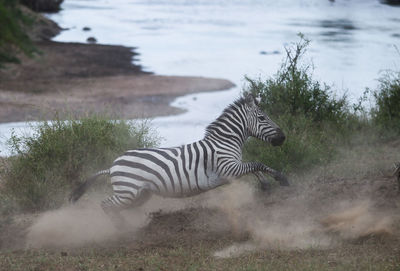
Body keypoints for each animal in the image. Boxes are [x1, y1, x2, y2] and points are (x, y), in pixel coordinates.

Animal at [69, 94, 288, 224]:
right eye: (262, 118)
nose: (283, 137)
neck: (225, 141)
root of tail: (112, 165)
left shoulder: (234, 168)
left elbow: (255, 168)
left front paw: (267, 185)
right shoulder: (227, 169)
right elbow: (257, 164)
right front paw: (282, 179)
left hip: (139, 195)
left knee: (115, 206)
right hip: (128, 192)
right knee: (105, 204)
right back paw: (120, 228)